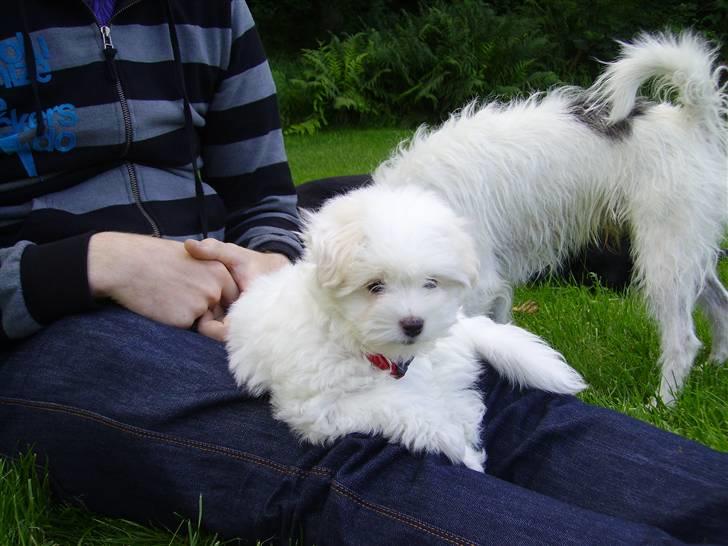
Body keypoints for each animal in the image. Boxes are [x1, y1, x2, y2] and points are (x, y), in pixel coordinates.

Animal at [228, 184, 584, 472]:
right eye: (375, 286)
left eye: (431, 283)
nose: (414, 324)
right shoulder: (319, 406)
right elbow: (402, 405)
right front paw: (460, 447)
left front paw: (464, 434)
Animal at [372, 30, 724, 404]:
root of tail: (691, 121)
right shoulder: (494, 289)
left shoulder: (477, 286)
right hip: (687, 250)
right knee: (720, 303)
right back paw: (716, 364)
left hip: (664, 256)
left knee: (682, 339)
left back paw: (663, 402)